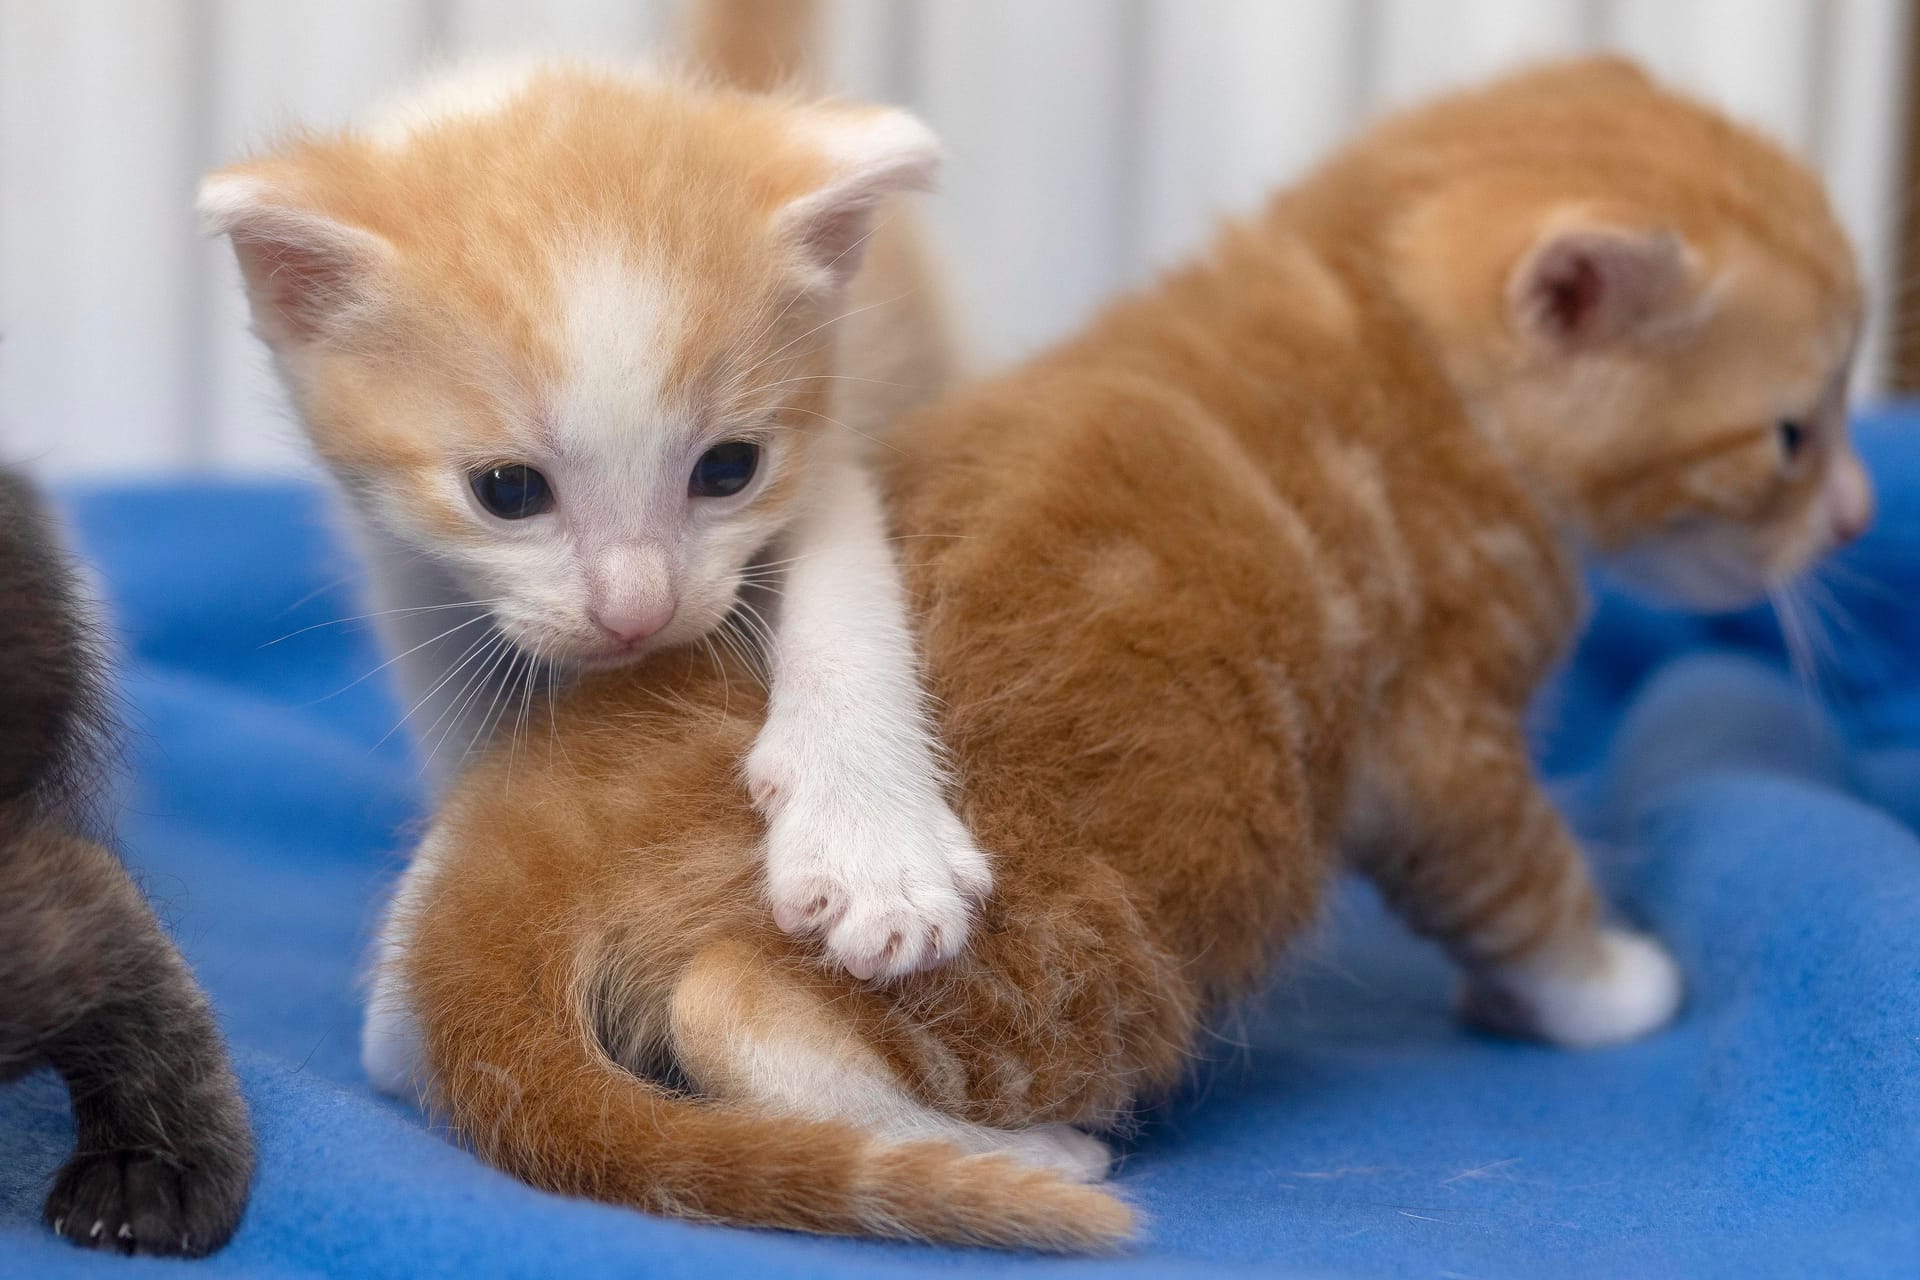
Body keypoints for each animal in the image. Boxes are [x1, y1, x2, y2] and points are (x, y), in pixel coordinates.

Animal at [200, 10, 983, 1097]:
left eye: (728, 468)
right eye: (507, 491)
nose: (637, 611)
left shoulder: (830, 443)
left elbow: (846, 592)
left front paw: (871, 840)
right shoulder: (406, 569)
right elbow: (480, 750)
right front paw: (440, 939)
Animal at [385, 59, 1858, 1251]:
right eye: (1793, 434)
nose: (1855, 514)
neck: (1369, 307)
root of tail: (557, 831)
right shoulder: (1442, 728)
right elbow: (1512, 868)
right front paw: (1604, 985)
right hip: (1122, 931)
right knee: (739, 1008)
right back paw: (1005, 1147)